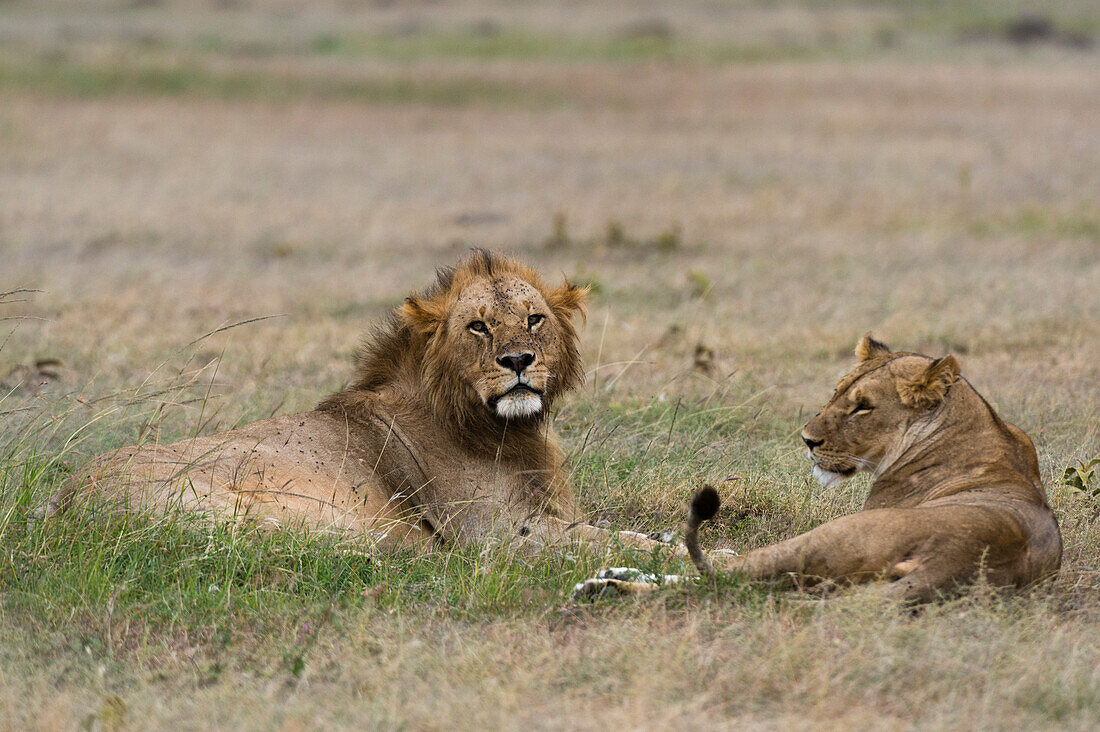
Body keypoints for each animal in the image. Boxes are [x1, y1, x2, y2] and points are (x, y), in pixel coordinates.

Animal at [55, 250, 673, 554]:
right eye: (477, 326)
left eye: (534, 319)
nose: (518, 360)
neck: (507, 429)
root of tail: (68, 505)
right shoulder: (497, 532)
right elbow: (613, 543)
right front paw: (692, 561)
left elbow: (628, 534)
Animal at [580, 334, 1060, 598]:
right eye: (838, 391)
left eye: (863, 407)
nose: (807, 440)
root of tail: (955, 562)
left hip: (828, 538)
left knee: (722, 575)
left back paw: (606, 583)